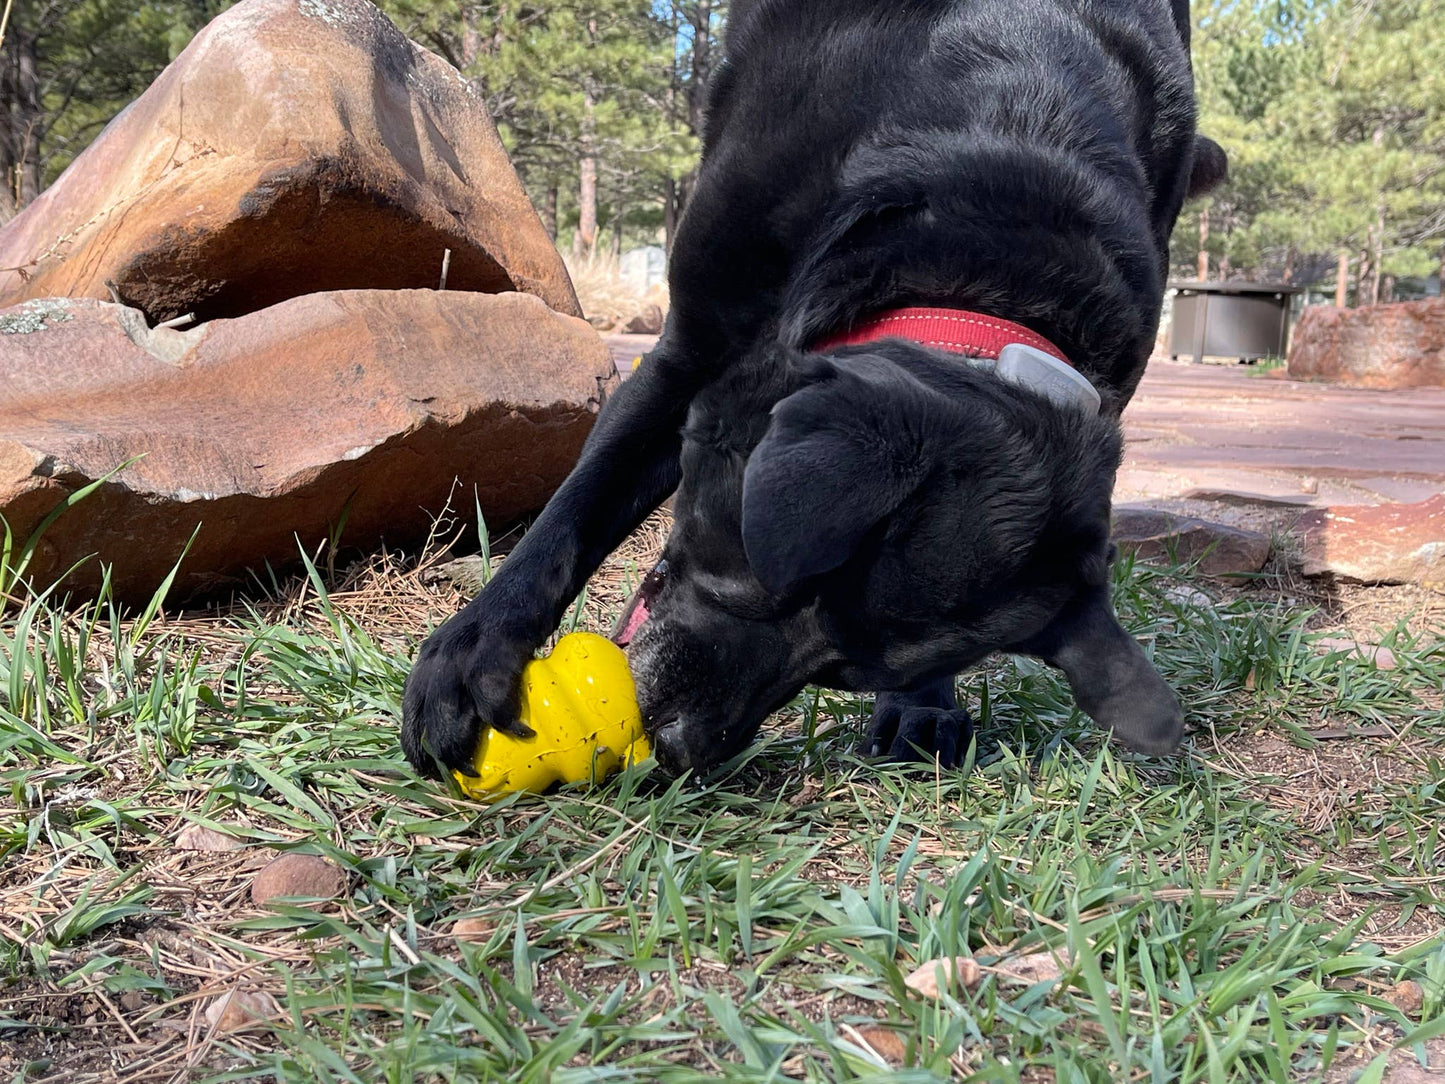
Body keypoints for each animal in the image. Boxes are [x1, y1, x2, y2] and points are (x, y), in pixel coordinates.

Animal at [401, 0, 1225, 780]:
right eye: (755, 580)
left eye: (839, 673)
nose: (680, 748)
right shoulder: (685, 352)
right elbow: (576, 511)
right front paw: (473, 650)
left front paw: (921, 705)